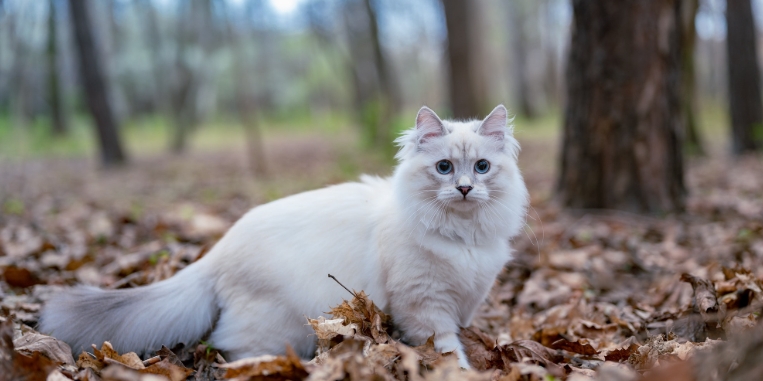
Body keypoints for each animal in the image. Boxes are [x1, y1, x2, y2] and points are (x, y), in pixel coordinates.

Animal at [38, 104, 528, 368]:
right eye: (444, 168)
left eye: (481, 167)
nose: (463, 189)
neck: (462, 237)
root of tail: (217, 252)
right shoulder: (425, 307)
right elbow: (446, 348)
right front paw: (464, 370)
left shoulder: (463, 299)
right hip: (275, 324)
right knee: (234, 349)